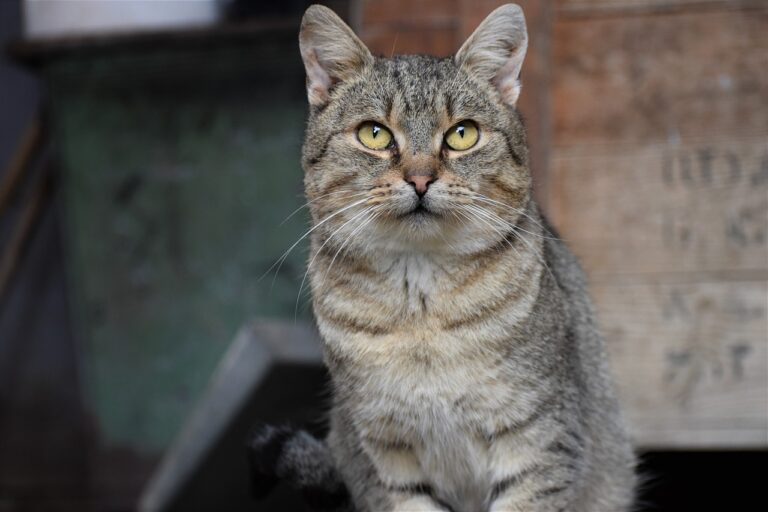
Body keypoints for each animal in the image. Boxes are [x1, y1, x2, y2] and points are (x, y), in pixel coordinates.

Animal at [250, 4, 636, 512]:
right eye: (374, 134)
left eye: (462, 134)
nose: (419, 179)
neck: (422, 317)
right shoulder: (387, 456)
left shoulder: (540, 440)